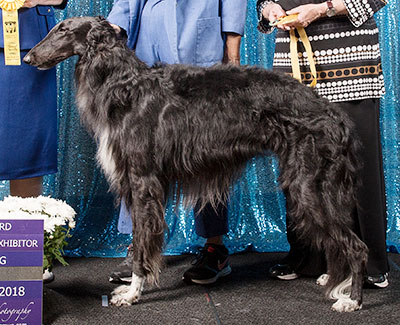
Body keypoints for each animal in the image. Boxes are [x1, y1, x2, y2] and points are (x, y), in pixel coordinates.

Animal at [24, 16, 368, 310]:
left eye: (63, 30)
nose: (28, 58)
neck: (127, 87)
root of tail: (333, 113)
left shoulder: (143, 181)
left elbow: (142, 242)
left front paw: (134, 292)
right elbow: (140, 240)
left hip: (309, 187)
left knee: (357, 247)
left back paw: (352, 299)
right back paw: (338, 282)